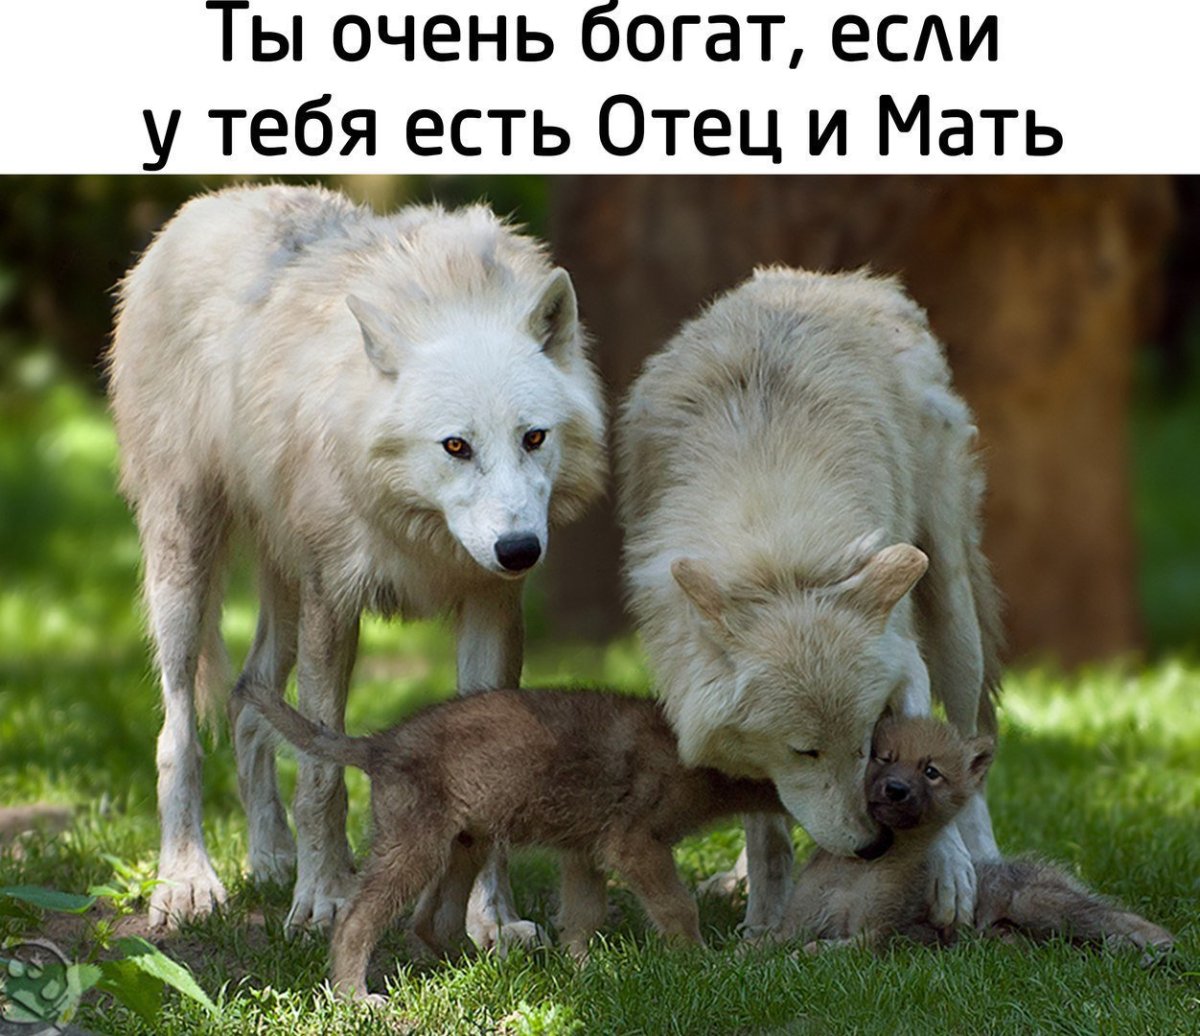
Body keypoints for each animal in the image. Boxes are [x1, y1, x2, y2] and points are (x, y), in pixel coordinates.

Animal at [107, 185, 606, 935]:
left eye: (534, 438)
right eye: (456, 446)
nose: (519, 550)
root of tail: (206, 205)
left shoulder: (490, 604)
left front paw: (491, 922)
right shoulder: (334, 598)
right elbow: (322, 775)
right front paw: (324, 900)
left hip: (282, 585)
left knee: (247, 699)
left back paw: (270, 861)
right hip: (186, 564)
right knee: (179, 733)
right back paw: (189, 883)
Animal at [234, 680, 785, 997]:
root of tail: (380, 744)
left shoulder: (586, 850)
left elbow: (582, 916)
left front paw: (583, 971)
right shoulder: (634, 843)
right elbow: (677, 906)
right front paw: (701, 961)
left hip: (465, 843)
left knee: (431, 921)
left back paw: (481, 970)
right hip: (416, 847)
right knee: (355, 918)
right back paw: (355, 996)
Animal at [618, 267, 1003, 932]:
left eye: (869, 742)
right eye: (805, 750)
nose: (873, 846)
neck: (779, 559)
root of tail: (841, 281)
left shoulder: (904, 657)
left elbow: (936, 747)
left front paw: (947, 871)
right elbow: (768, 829)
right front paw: (765, 920)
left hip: (952, 606)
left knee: (970, 740)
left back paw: (982, 860)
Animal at [784, 716, 1175, 958]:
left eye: (931, 772)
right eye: (884, 758)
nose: (895, 789)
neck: (861, 868)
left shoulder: (893, 933)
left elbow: (829, 948)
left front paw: (798, 958)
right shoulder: (797, 921)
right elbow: (774, 941)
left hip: (1034, 902)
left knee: (1119, 916)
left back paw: (1158, 947)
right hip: (1017, 936)